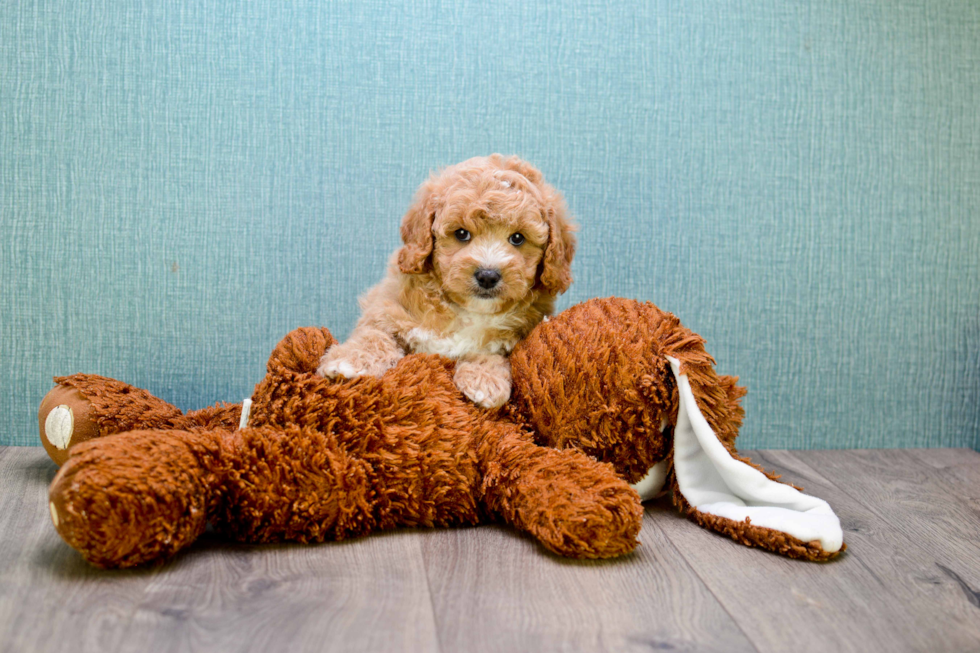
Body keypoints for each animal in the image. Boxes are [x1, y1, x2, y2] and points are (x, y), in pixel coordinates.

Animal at [316, 154, 576, 408]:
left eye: (518, 238)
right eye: (461, 234)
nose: (487, 275)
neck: (466, 312)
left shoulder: (514, 336)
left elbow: (492, 351)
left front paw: (485, 379)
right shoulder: (386, 308)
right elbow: (374, 335)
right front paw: (348, 360)